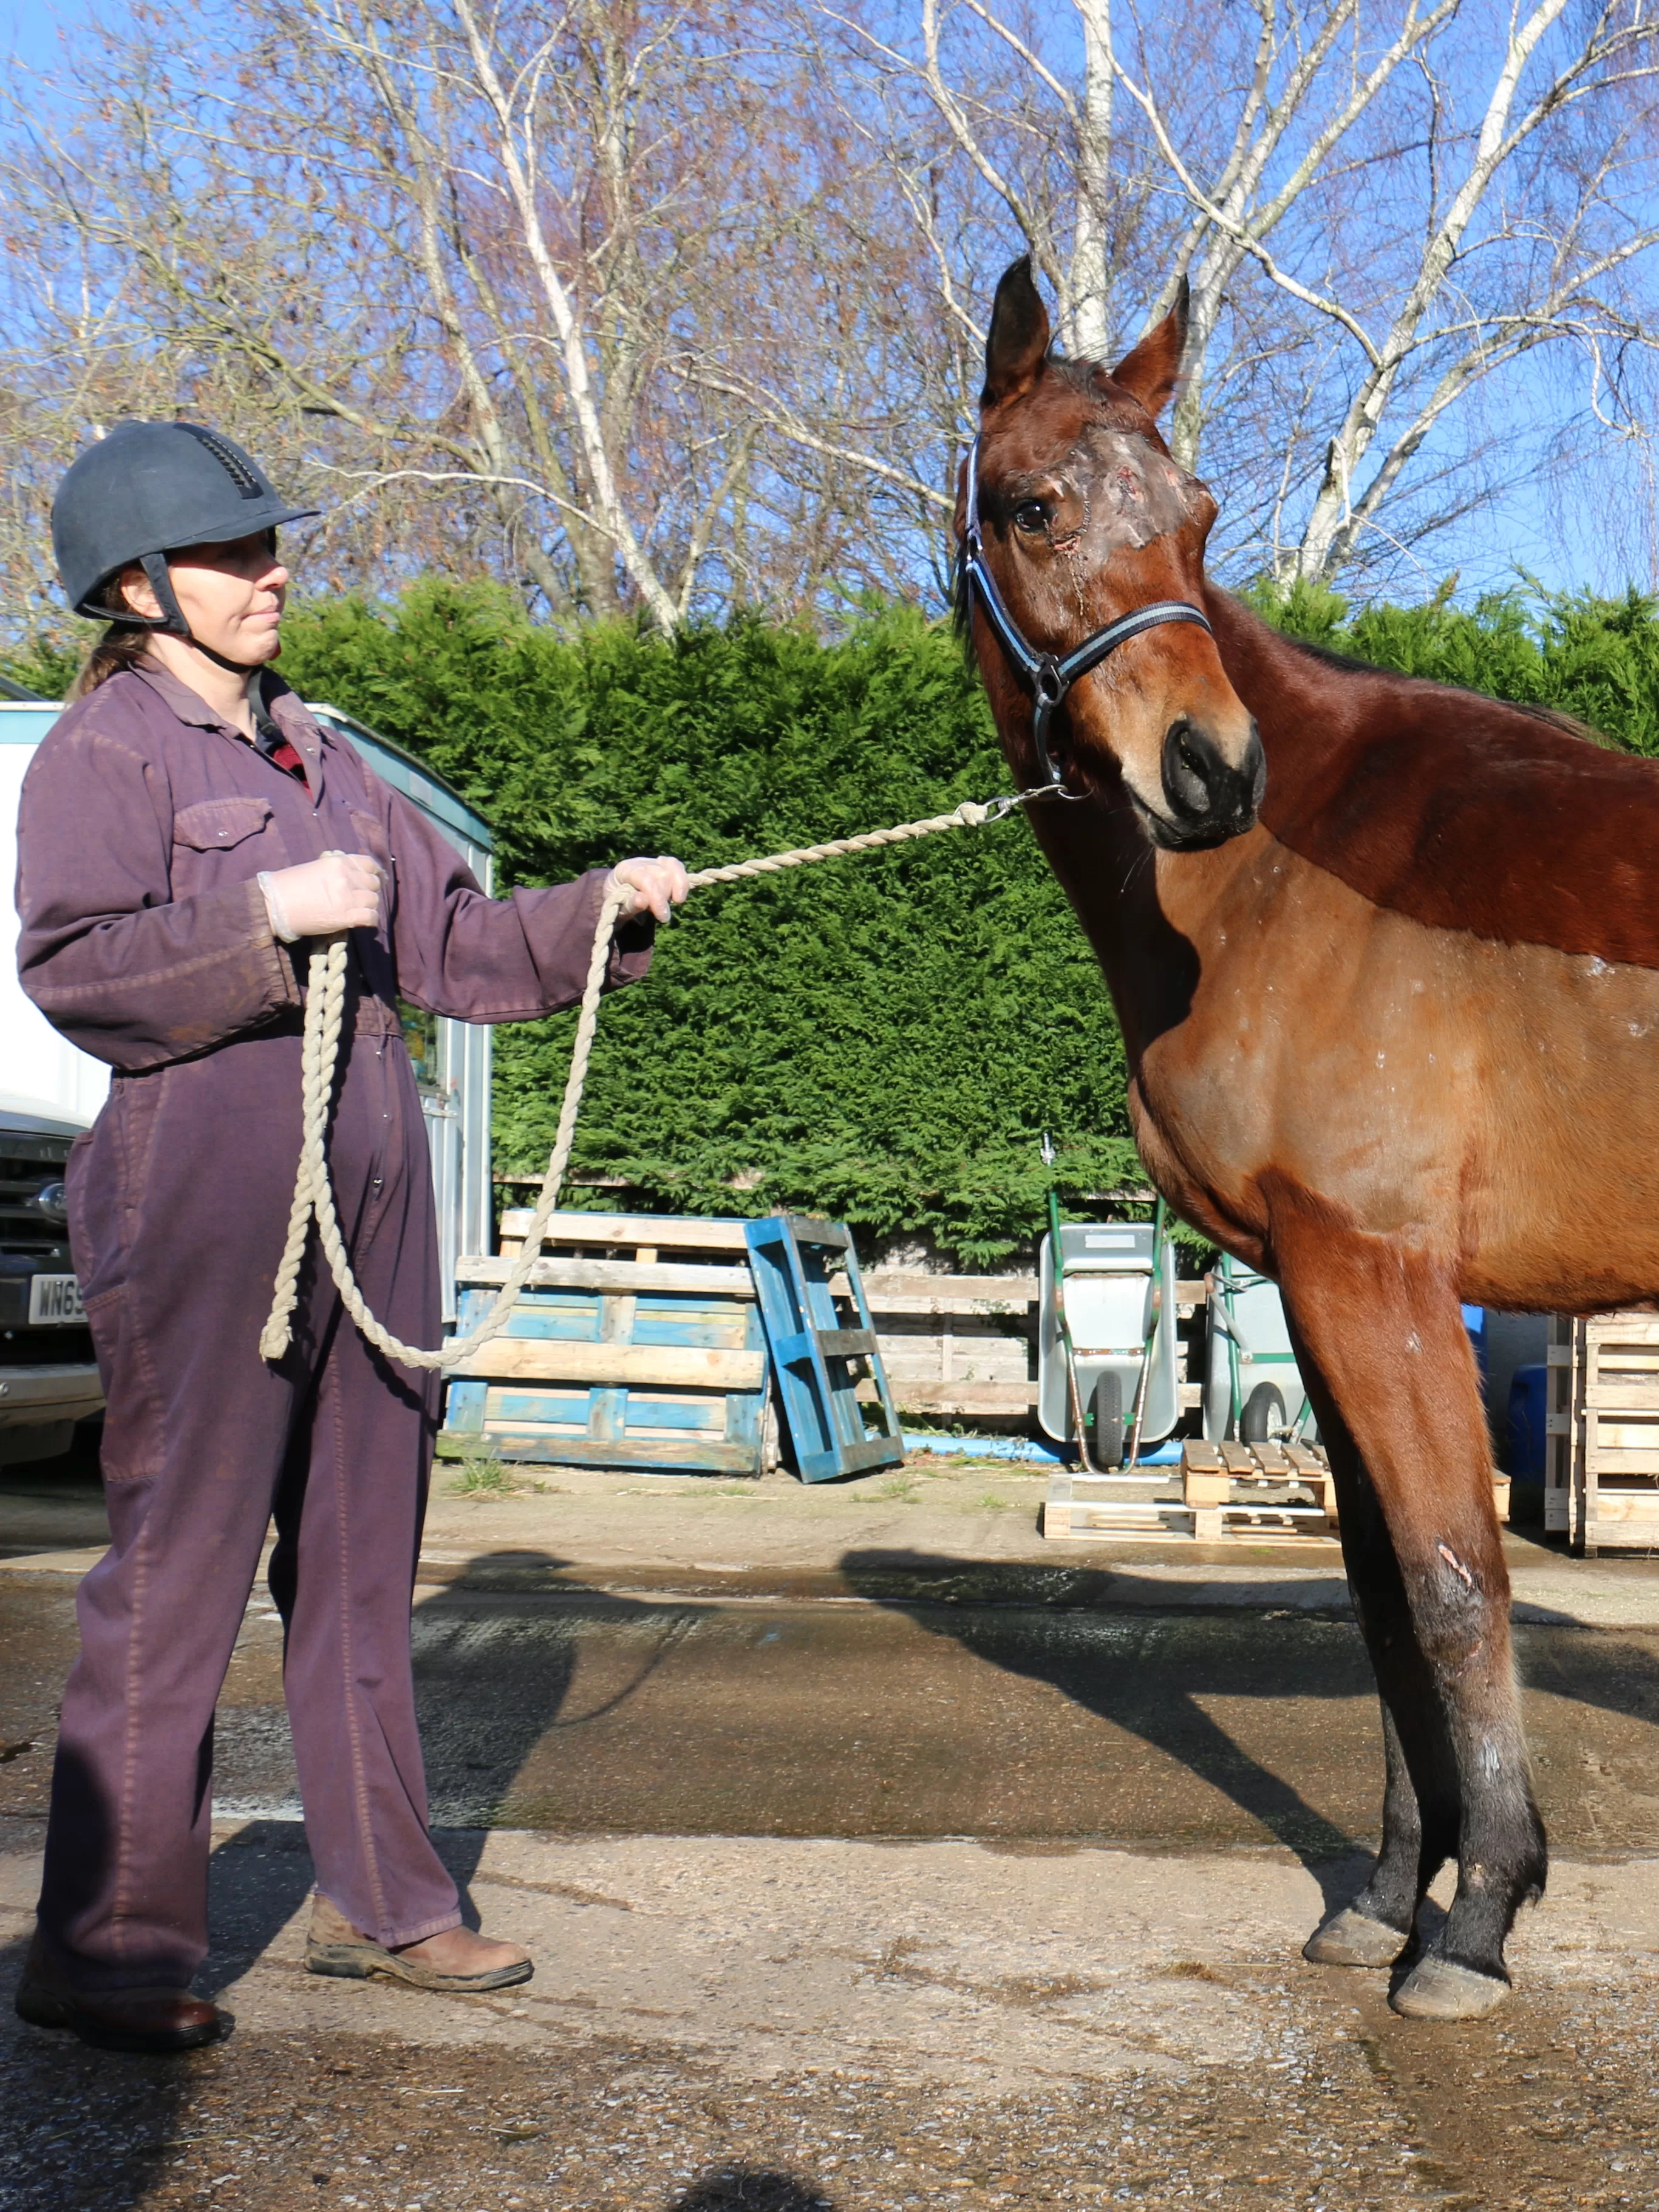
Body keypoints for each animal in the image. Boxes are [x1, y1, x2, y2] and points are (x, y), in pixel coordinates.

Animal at [959, 254, 1659, 2026]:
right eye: (1031, 503)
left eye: (1195, 516)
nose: (1209, 770)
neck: (1280, 872)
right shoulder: (1319, 1282)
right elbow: (1375, 1597)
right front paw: (1390, 1895)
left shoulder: (1377, 1274)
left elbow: (1453, 1578)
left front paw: (1477, 1922)